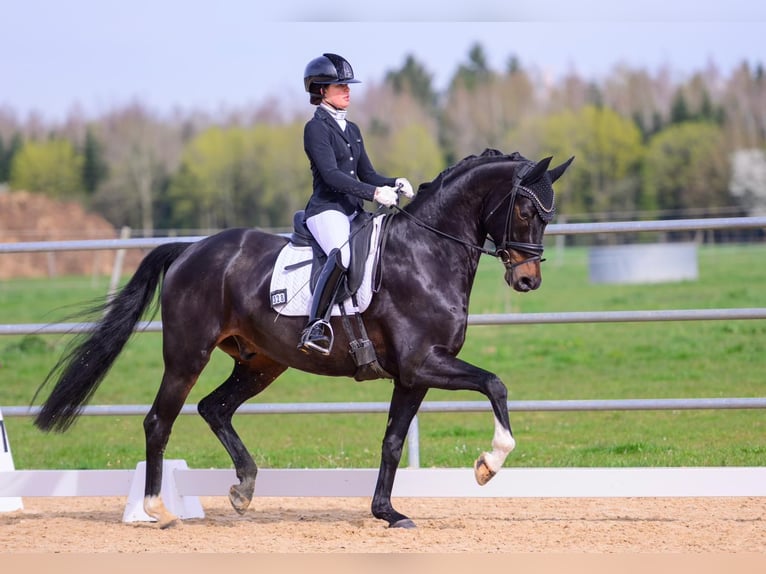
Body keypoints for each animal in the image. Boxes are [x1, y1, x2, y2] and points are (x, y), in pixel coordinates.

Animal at [33, 148, 573, 529]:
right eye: (526, 211)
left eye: (548, 214)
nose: (528, 281)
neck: (427, 252)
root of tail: (190, 250)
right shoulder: (423, 362)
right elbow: (495, 383)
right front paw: (489, 464)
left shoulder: (412, 376)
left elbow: (393, 441)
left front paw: (387, 513)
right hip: (187, 355)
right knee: (158, 420)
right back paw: (156, 509)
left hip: (261, 362)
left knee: (215, 408)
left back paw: (244, 489)